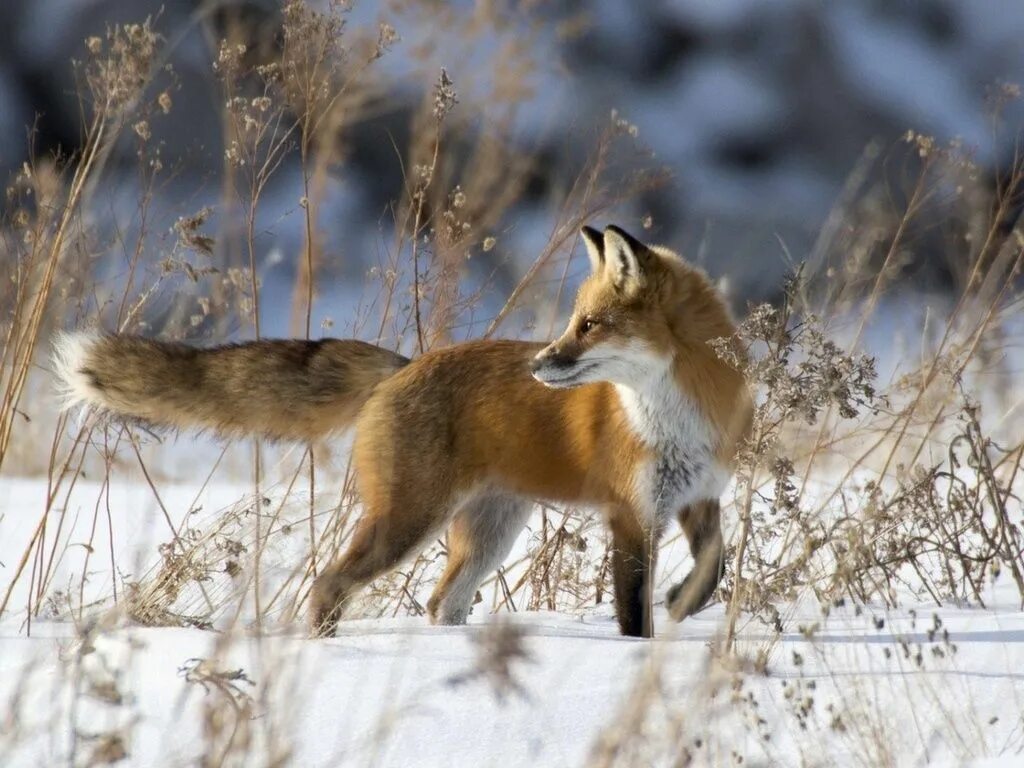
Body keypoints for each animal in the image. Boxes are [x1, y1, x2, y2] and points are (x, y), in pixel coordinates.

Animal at [54, 224, 753, 638]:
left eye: (590, 325)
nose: (537, 364)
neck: (679, 412)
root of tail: (403, 365)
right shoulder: (630, 513)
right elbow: (633, 611)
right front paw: (641, 652)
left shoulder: (698, 496)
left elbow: (714, 568)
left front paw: (683, 603)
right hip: (409, 522)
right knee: (331, 583)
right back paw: (325, 650)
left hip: (487, 533)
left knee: (442, 603)